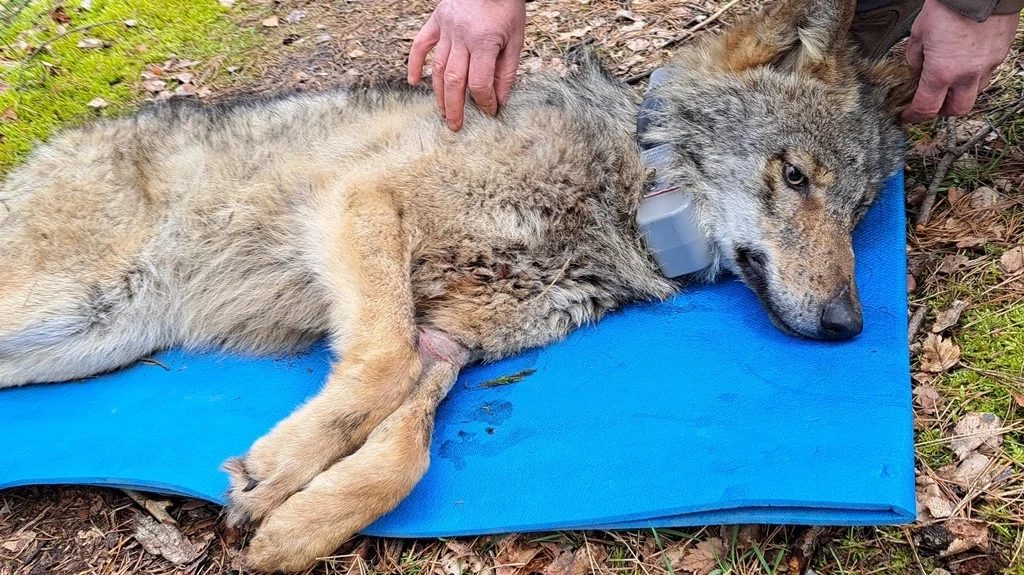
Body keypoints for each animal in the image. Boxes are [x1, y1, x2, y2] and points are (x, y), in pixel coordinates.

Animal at [0, 0, 912, 570]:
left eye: (859, 211)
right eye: (793, 176)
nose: (848, 325)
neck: (621, 189)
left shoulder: (447, 339)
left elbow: (404, 447)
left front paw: (297, 520)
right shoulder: (363, 200)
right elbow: (378, 370)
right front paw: (281, 472)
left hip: (82, 341)